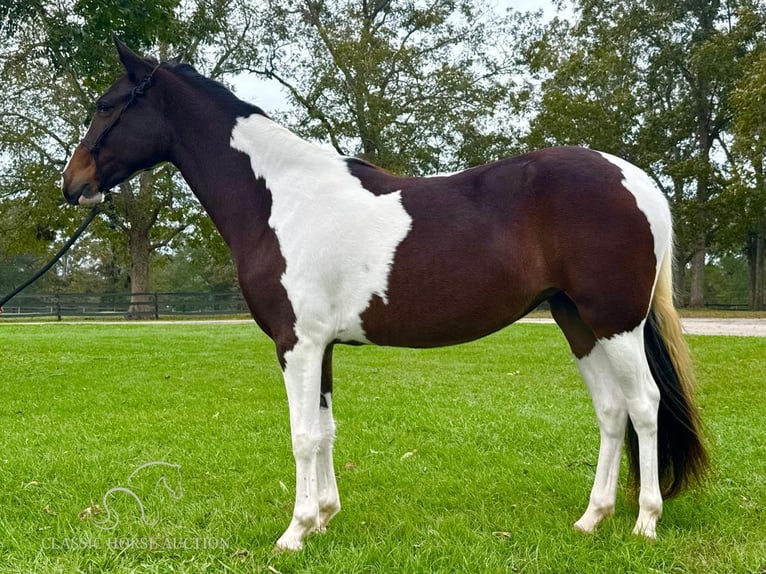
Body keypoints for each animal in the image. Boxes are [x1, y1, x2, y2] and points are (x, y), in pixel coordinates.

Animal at [60, 38, 708, 552]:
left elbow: (301, 435)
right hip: (579, 324)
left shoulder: (296, 343)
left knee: (644, 406)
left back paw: (645, 523)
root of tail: (636, 180)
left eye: (106, 106)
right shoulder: (320, 346)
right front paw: (323, 519)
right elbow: (325, 430)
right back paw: (591, 519)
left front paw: (294, 533)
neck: (279, 197)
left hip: (616, 322)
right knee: (612, 410)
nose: (73, 184)